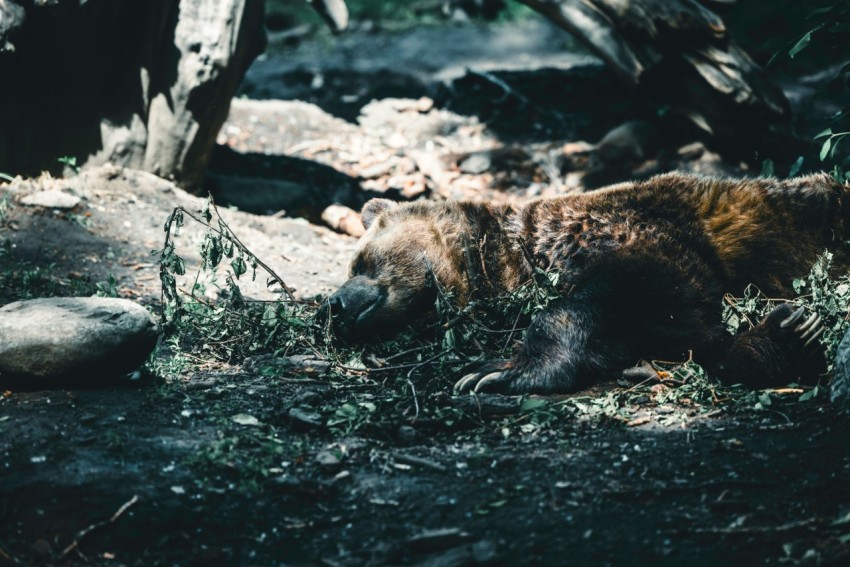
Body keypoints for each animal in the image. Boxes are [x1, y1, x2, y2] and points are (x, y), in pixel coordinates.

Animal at [322, 173, 844, 394]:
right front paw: (781, 339)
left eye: (360, 261)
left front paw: (497, 371)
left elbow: (646, 291)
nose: (334, 306)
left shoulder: (636, 232)